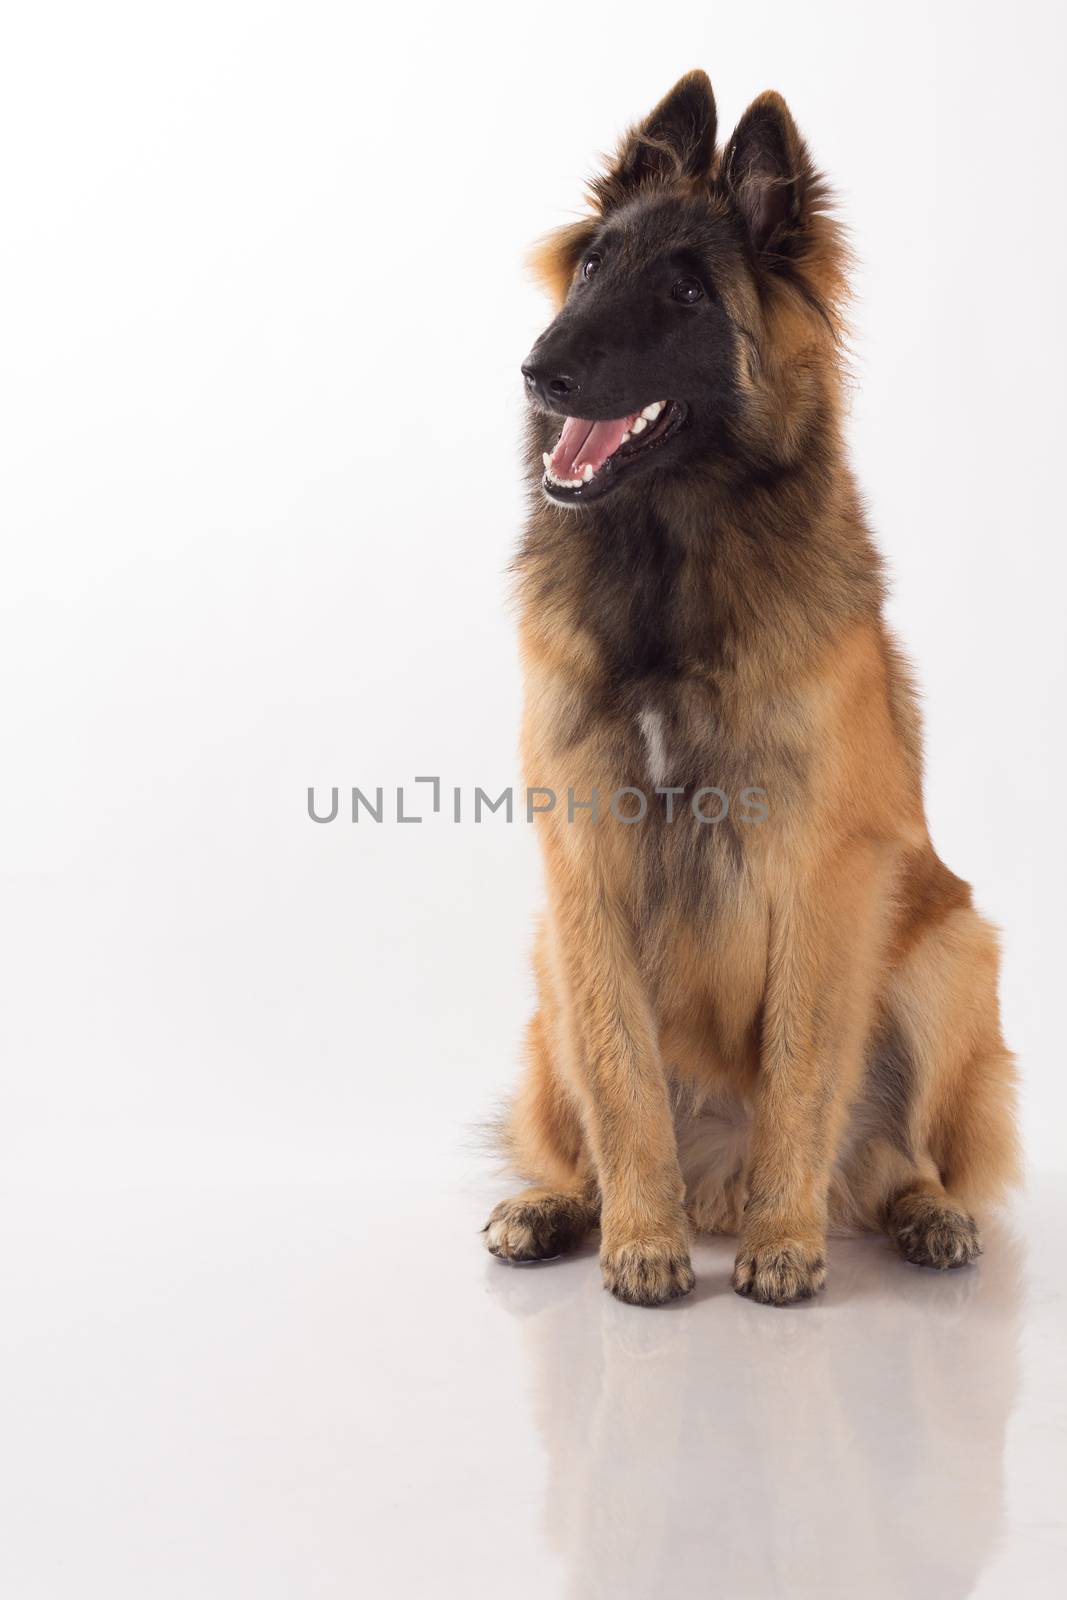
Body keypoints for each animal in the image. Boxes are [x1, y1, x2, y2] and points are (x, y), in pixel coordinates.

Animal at [483, 68, 1017, 1305]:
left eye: (684, 290)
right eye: (593, 266)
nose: (538, 369)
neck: (670, 562)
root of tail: (713, 1176)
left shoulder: (823, 869)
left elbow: (801, 1064)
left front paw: (783, 1240)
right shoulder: (585, 867)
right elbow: (621, 1077)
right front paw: (641, 1235)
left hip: (949, 955)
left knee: (898, 1155)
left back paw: (918, 1214)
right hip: (544, 969)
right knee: (574, 1133)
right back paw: (557, 1206)